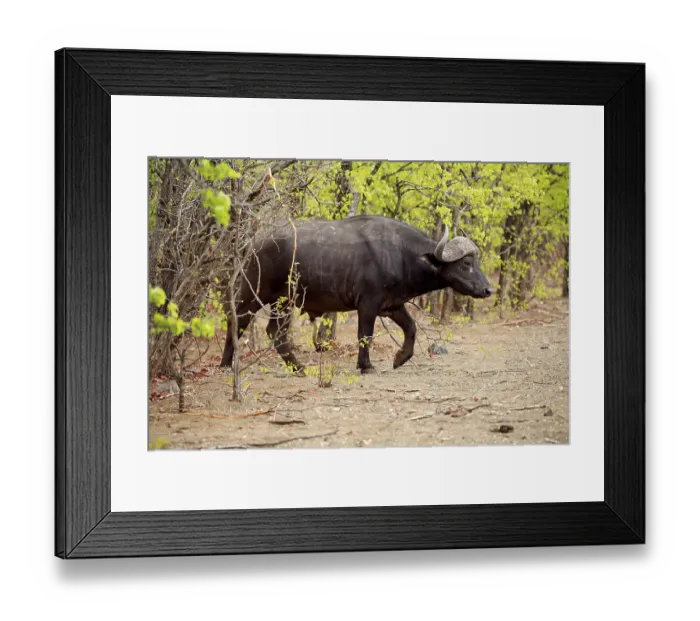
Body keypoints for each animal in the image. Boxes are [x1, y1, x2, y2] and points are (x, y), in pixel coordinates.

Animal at [220, 215, 493, 374]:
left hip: (283, 302)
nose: (488, 289)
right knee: (239, 320)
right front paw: (366, 365)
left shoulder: (392, 305)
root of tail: (254, 242)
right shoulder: (368, 305)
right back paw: (232, 363)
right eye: (466, 263)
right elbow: (365, 335)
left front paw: (400, 357)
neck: (401, 255)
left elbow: (412, 328)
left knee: (272, 331)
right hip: (255, 293)